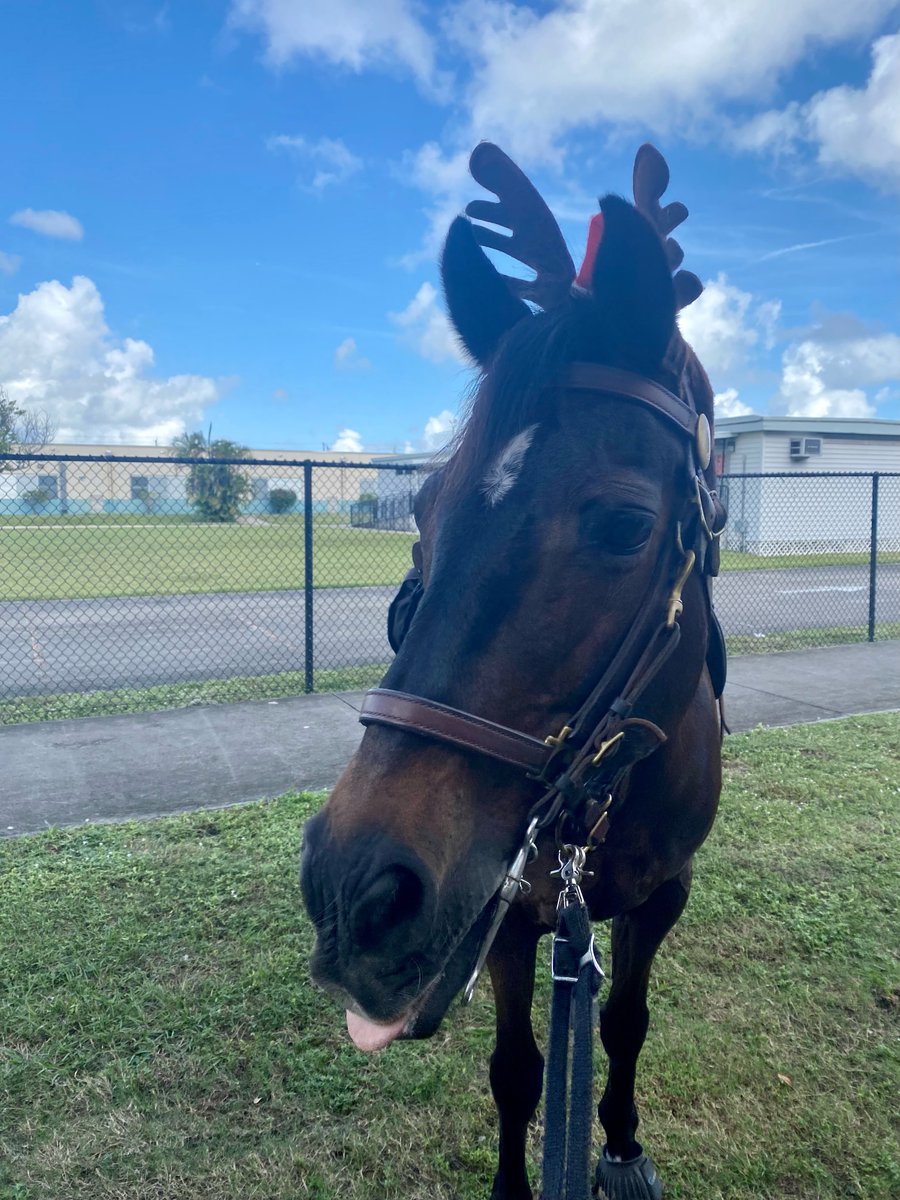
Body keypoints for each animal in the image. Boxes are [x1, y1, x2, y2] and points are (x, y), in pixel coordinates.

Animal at [301, 142, 728, 1200]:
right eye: (421, 510)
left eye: (624, 525)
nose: (351, 891)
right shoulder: (506, 916)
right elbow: (517, 1069)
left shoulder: (665, 894)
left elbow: (623, 1024)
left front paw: (621, 1145)